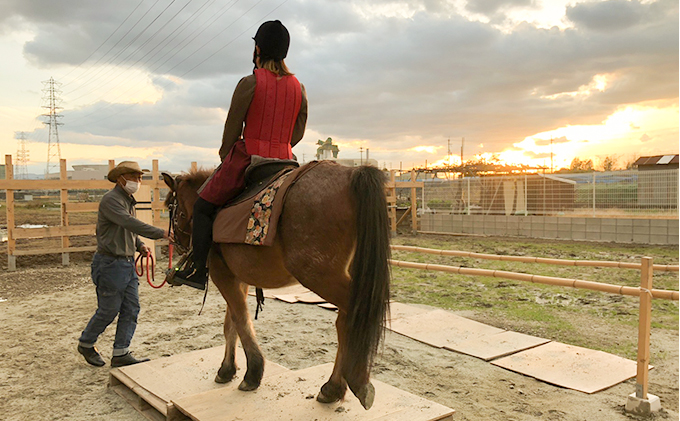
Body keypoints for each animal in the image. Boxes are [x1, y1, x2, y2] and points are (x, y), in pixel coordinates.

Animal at [160, 162, 390, 410]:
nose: (175, 243)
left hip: (318, 274)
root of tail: (352, 173)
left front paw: (252, 372)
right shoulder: (238, 278)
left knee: (356, 315)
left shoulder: (222, 274)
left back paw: (355, 382)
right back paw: (332, 388)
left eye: (171, 208)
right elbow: (231, 323)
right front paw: (227, 369)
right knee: (344, 321)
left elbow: (240, 319)